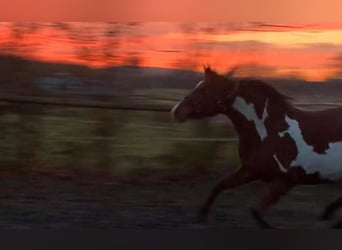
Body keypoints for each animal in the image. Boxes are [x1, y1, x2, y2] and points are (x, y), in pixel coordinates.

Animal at [171, 66, 342, 229]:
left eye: (203, 90)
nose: (176, 111)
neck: (268, 131)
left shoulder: (286, 180)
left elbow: (255, 212)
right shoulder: (250, 171)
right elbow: (218, 186)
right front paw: (200, 216)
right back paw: (328, 215)